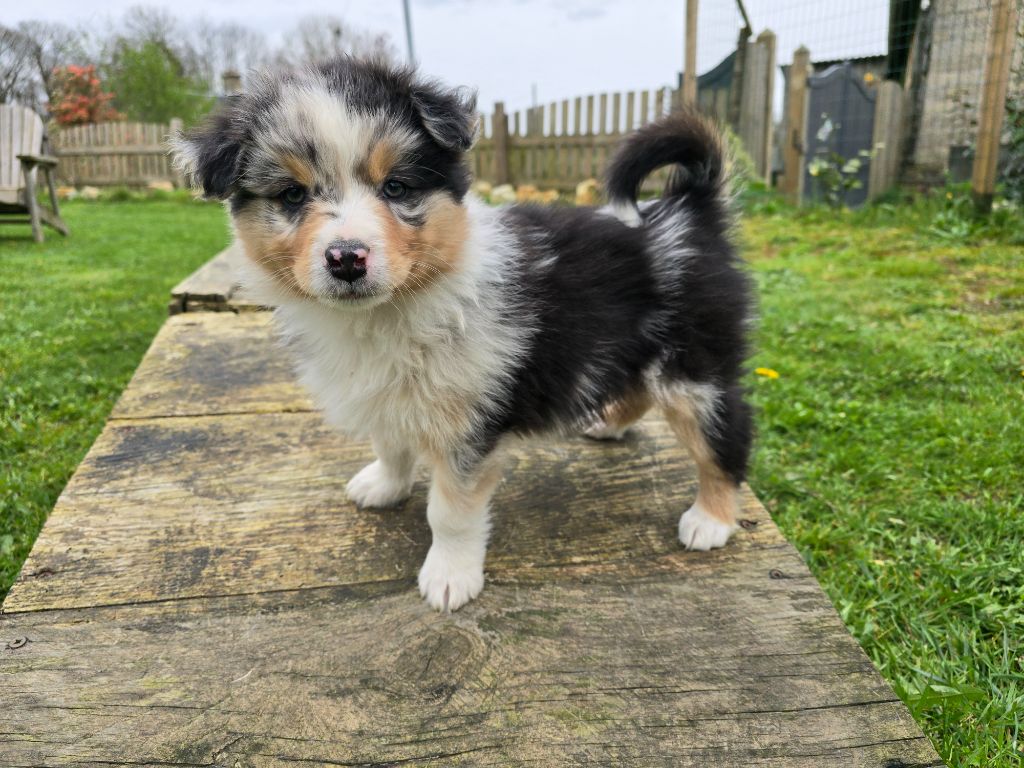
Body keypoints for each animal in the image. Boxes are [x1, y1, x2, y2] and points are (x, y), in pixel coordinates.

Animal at [173, 56, 753, 612]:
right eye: (292, 195)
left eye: (396, 187)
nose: (347, 258)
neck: (387, 312)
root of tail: (687, 212)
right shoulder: (390, 394)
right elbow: (391, 443)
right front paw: (384, 486)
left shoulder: (467, 426)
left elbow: (448, 512)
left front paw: (449, 578)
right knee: (632, 388)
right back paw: (607, 424)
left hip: (693, 367)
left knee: (724, 439)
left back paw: (710, 519)